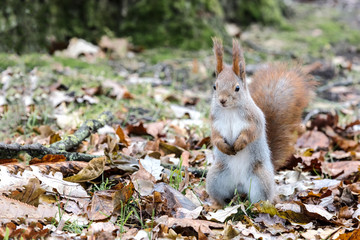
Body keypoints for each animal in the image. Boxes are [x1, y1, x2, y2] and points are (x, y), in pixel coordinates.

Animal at [205, 38, 316, 206]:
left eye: (237, 88)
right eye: (214, 86)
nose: (222, 100)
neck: (229, 110)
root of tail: (240, 185)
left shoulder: (255, 119)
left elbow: (252, 132)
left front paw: (240, 143)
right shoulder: (214, 121)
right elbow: (215, 136)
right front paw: (223, 146)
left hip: (260, 180)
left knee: (263, 198)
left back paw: (260, 206)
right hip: (215, 178)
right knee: (221, 196)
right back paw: (218, 205)